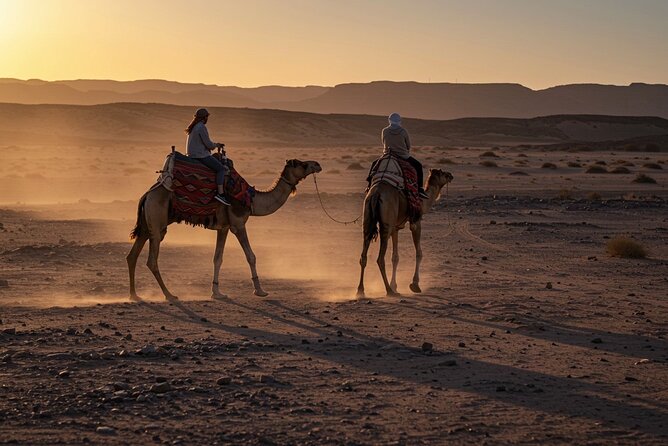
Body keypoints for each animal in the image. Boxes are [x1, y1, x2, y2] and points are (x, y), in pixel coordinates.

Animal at [127, 158, 322, 300]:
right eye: (302, 164)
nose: (317, 164)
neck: (251, 199)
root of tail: (146, 195)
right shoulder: (238, 224)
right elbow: (251, 256)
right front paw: (260, 291)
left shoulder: (224, 228)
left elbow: (217, 258)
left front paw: (217, 292)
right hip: (157, 222)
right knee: (152, 260)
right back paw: (169, 295)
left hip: (146, 225)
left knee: (132, 255)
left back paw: (134, 295)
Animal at [356, 168, 453, 298]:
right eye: (443, 173)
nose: (451, 175)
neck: (423, 201)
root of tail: (376, 194)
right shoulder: (416, 222)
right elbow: (419, 253)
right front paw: (415, 285)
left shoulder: (396, 228)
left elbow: (395, 257)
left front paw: (394, 285)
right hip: (386, 224)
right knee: (380, 258)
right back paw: (389, 291)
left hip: (368, 218)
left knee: (363, 255)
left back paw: (360, 290)